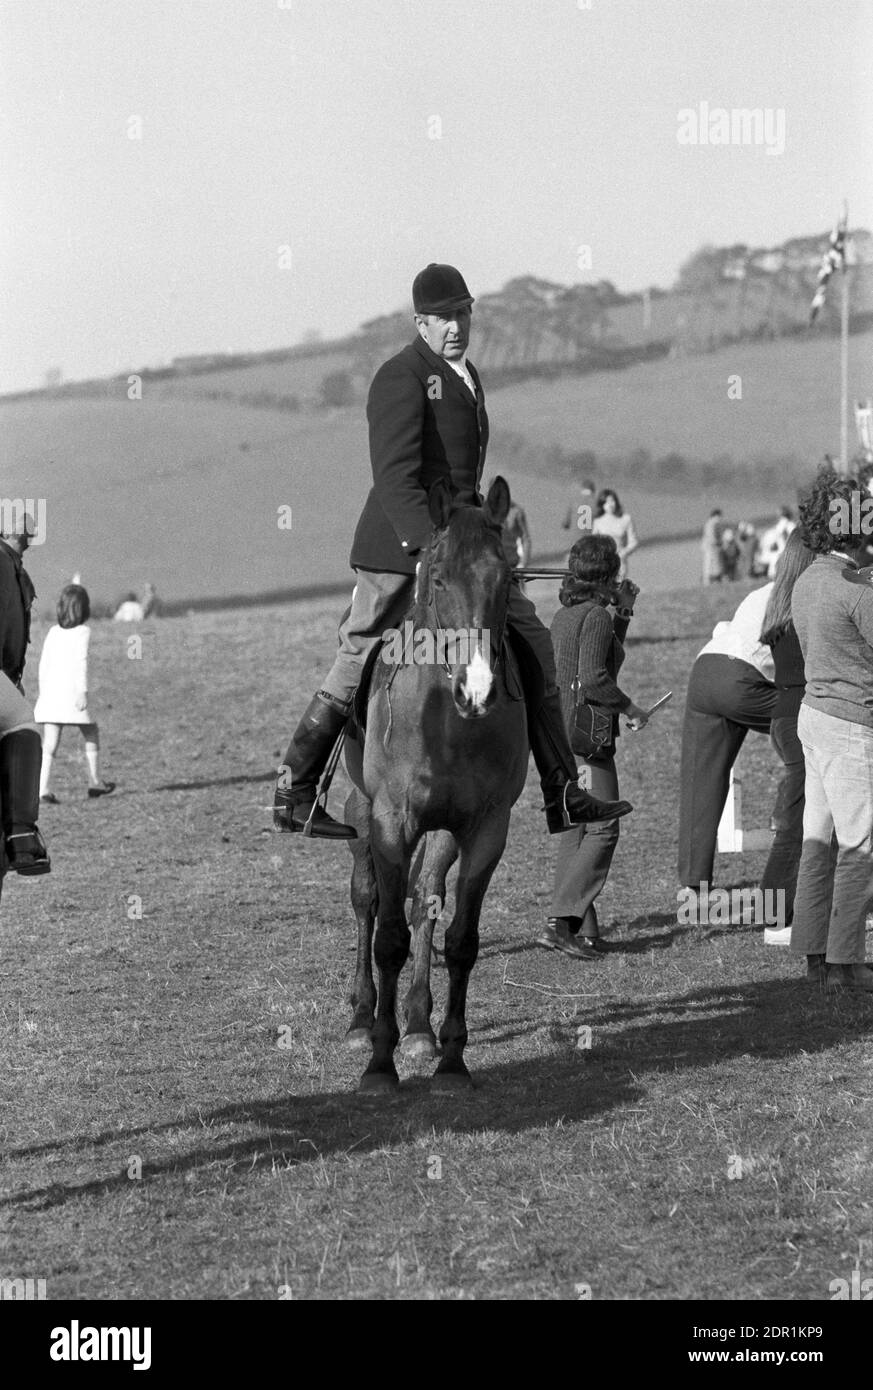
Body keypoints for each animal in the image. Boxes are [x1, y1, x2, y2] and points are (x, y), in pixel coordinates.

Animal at [344, 478, 528, 1095]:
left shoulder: (486, 827)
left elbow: (461, 938)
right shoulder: (389, 822)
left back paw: (420, 1027)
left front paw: (450, 1059)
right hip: (361, 814)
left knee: (426, 897)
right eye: (440, 576)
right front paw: (379, 1065)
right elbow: (389, 939)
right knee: (368, 898)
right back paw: (361, 1018)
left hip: (443, 830)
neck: (447, 723)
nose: (479, 690)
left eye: (506, 575)